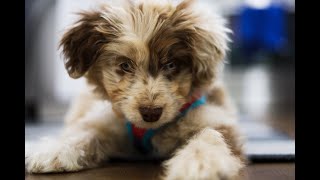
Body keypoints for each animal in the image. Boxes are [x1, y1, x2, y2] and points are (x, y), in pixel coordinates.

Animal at [25, 0, 245, 179]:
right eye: (125, 65)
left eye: (171, 64)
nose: (151, 113)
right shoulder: (110, 122)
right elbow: (85, 131)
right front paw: (53, 150)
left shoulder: (214, 118)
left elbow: (210, 135)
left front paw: (200, 164)